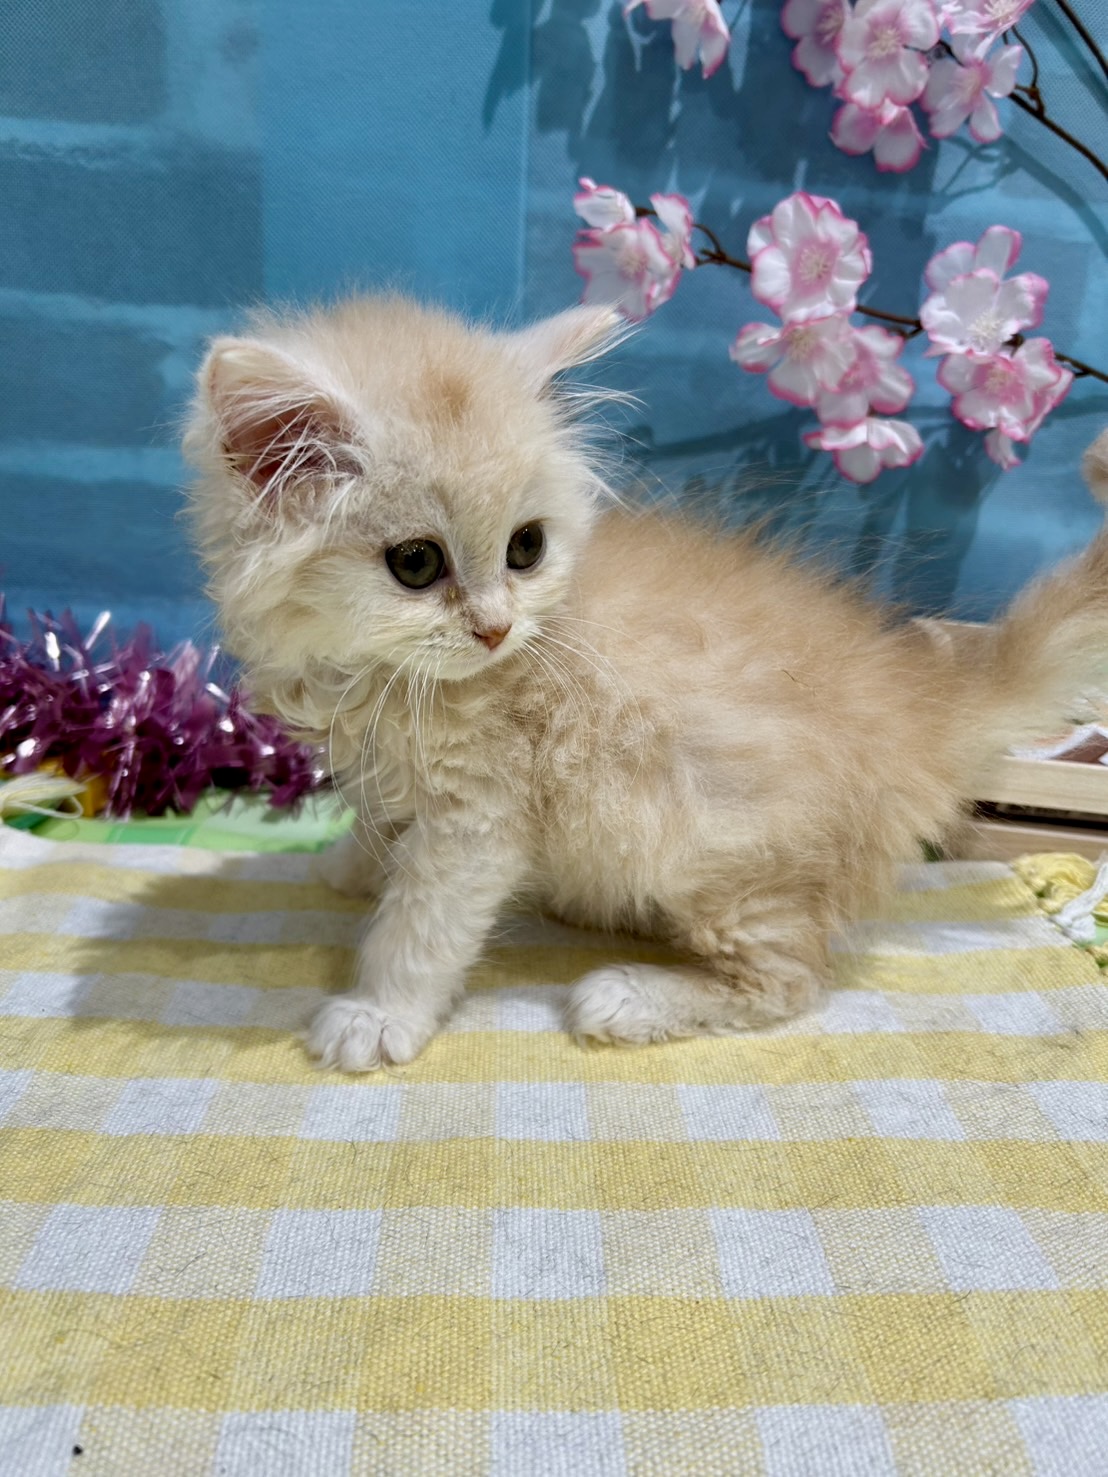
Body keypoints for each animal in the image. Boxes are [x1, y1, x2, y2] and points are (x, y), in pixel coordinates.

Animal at [185, 295, 1108, 1072]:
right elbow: (380, 822)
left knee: (793, 981)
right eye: (416, 563)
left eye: (525, 548)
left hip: (730, 862)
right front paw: (352, 864)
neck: (383, 679)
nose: (495, 628)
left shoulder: (478, 815)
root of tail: (921, 705)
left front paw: (380, 1013)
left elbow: (422, 926)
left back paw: (628, 995)